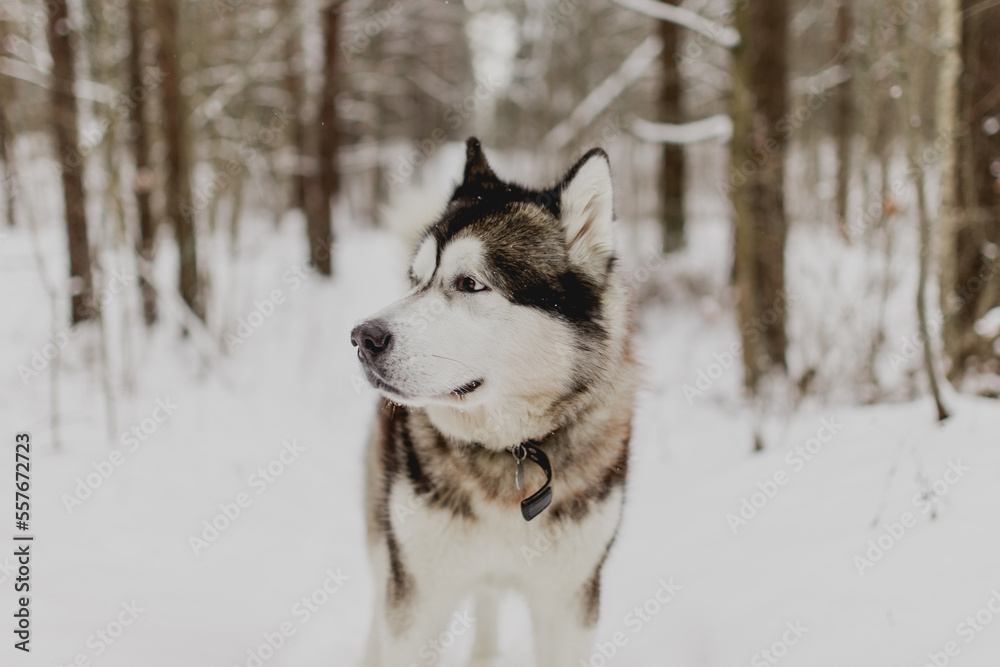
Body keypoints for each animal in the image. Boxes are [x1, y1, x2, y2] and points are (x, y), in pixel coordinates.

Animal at [354, 137, 632, 667]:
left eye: (469, 283)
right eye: (416, 280)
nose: (362, 337)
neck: (510, 451)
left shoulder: (569, 604)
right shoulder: (416, 598)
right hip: (386, 545)